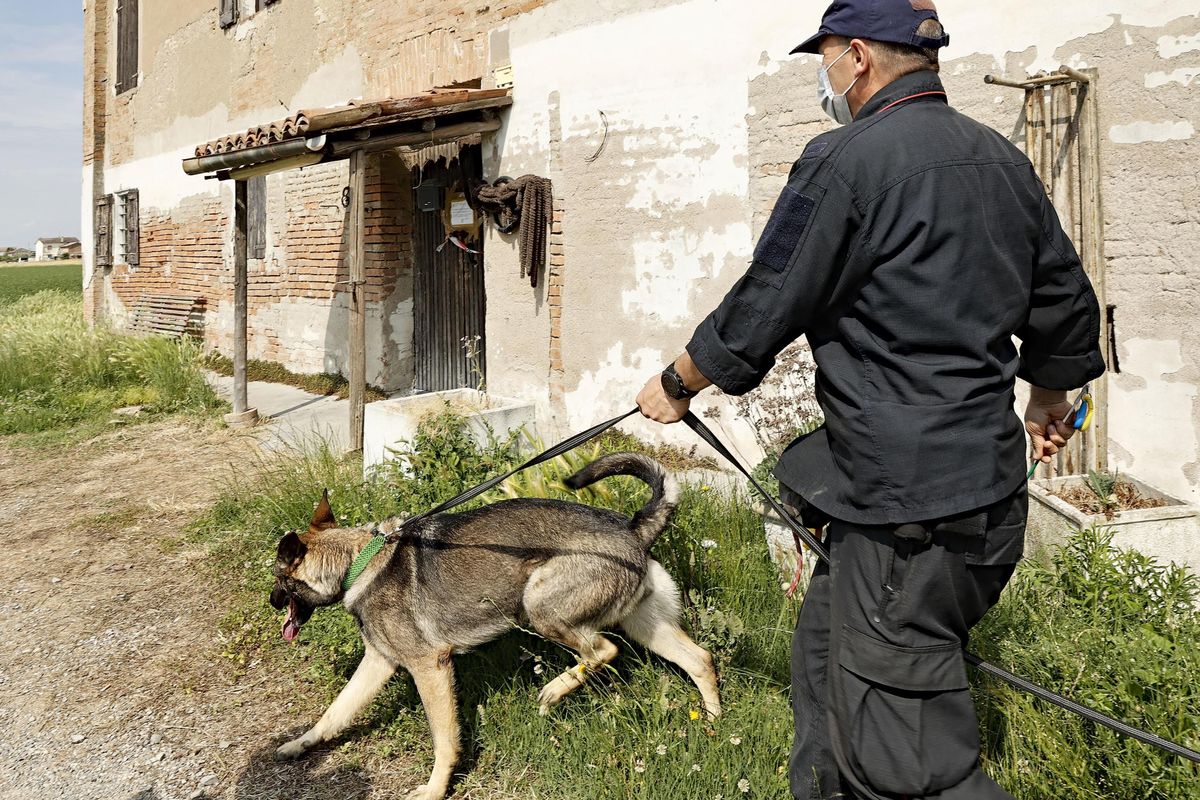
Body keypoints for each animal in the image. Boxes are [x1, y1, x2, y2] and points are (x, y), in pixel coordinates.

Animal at [270, 453, 720, 796]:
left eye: (278, 579)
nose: (272, 603)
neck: (359, 562)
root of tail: (633, 528)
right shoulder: (379, 664)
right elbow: (335, 713)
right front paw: (299, 744)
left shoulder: (429, 667)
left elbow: (445, 741)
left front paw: (435, 789)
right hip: (645, 625)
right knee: (700, 658)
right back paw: (714, 723)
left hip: (537, 604)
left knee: (606, 650)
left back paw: (554, 690)